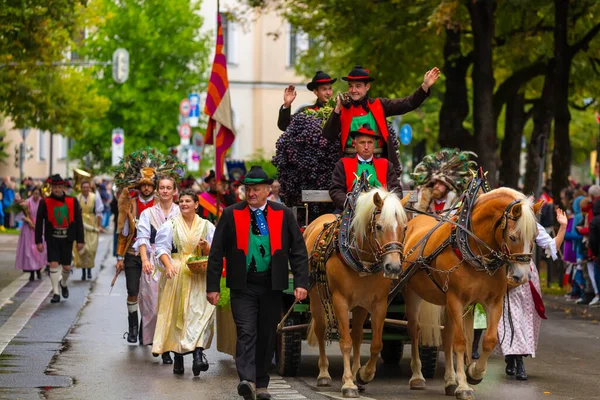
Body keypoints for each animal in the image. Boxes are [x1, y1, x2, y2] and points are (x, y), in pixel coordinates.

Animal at [304, 189, 412, 398]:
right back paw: (324, 373)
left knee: (358, 335)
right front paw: (348, 383)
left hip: (360, 306)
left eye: (404, 228)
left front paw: (362, 375)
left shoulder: (379, 303)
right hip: (315, 298)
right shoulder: (340, 301)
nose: (394, 267)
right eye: (379, 226)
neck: (362, 259)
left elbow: (375, 343)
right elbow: (345, 342)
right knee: (321, 330)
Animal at [400, 188, 540, 400]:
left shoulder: (493, 302)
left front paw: (474, 373)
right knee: (415, 330)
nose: (522, 276)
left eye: (535, 237)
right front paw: (464, 386)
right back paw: (417, 377)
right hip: (412, 292)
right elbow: (460, 342)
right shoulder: (456, 300)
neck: (472, 249)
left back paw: (450, 381)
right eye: (513, 237)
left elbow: (488, 340)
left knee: (447, 335)